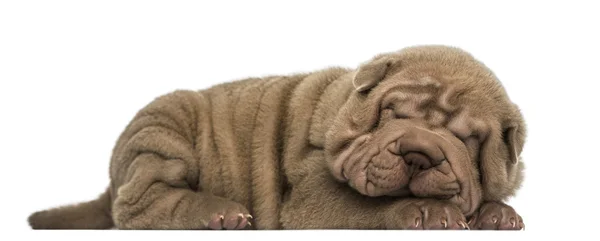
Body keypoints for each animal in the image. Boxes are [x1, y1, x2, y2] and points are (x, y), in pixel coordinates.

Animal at [28, 44, 524, 230]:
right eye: (391, 114)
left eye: (468, 139)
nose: (420, 152)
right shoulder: (310, 196)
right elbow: (362, 206)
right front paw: (427, 211)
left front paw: (499, 214)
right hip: (161, 131)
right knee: (142, 205)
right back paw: (219, 213)